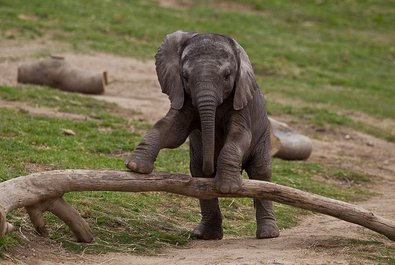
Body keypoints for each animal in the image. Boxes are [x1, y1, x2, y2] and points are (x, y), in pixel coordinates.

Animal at [125, 31, 280, 239]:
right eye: (185, 76)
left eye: (227, 75)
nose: (211, 168)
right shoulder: (183, 96)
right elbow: (172, 130)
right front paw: (136, 167)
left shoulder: (242, 104)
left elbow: (239, 136)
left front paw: (228, 188)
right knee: (198, 175)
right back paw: (206, 235)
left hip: (263, 136)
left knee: (261, 172)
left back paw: (268, 234)